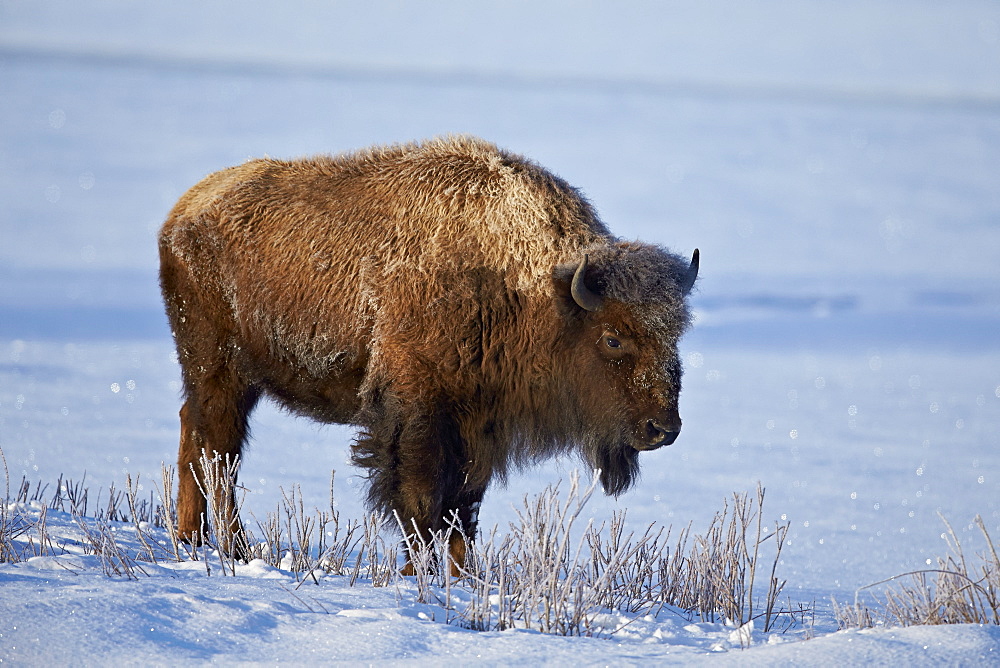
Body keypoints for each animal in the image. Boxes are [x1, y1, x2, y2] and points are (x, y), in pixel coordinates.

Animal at [160, 136, 700, 568]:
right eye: (612, 338)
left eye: (677, 333)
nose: (665, 428)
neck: (532, 289)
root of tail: (183, 213)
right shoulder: (417, 415)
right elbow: (421, 504)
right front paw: (416, 574)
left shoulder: (480, 426)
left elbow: (464, 509)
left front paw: (462, 577)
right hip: (219, 368)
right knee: (218, 450)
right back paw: (229, 547)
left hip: (227, 377)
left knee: (197, 434)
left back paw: (194, 539)